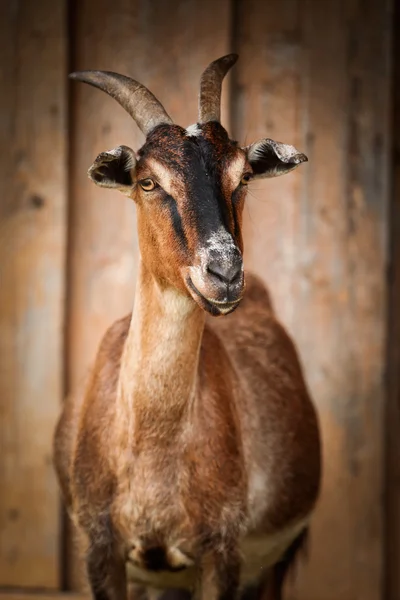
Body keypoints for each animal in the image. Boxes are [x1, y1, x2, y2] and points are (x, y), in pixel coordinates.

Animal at [54, 55, 322, 600]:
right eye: (147, 181)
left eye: (243, 176)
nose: (223, 272)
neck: (153, 445)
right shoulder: (101, 551)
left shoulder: (222, 554)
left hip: (275, 562)